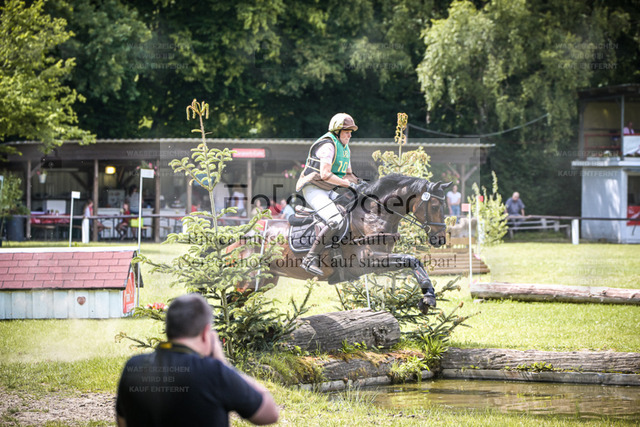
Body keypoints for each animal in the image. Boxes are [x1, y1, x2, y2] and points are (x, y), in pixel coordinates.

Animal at [238, 174, 451, 314]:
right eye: (434, 206)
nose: (440, 239)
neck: (372, 216)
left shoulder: (378, 264)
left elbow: (412, 261)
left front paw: (427, 297)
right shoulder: (367, 260)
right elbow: (412, 259)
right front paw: (428, 297)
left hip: (265, 281)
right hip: (248, 281)